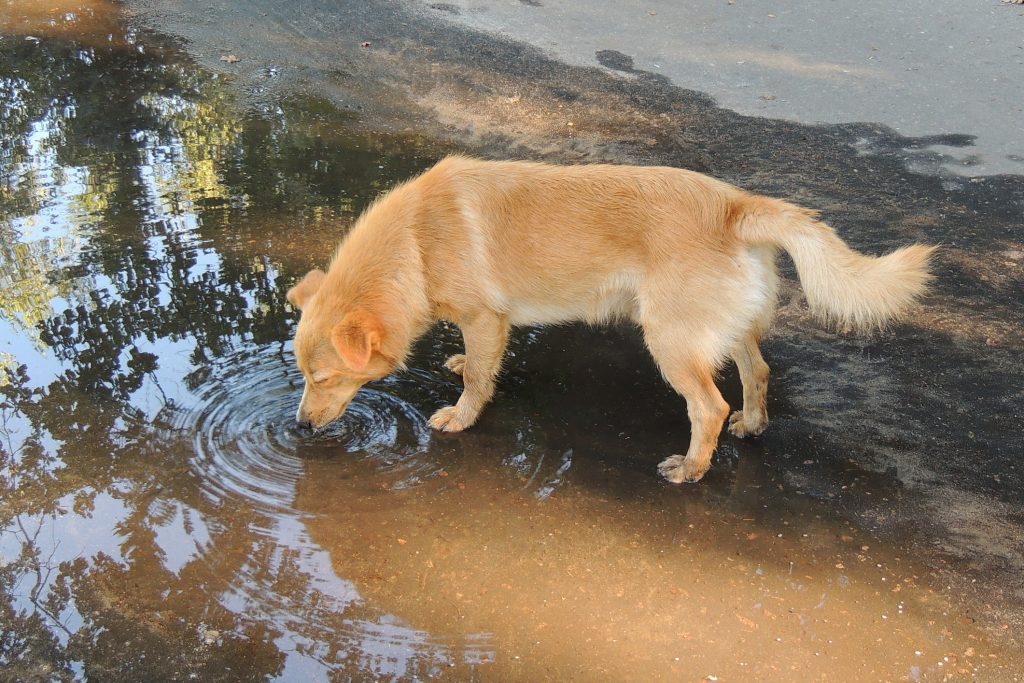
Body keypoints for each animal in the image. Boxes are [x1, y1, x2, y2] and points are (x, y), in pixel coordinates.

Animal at [284, 157, 933, 483]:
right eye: (305, 377)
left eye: (321, 379)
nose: (298, 428)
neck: (415, 242)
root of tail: (734, 206)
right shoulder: (491, 324)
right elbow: (482, 365)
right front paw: (468, 365)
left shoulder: (484, 316)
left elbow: (477, 384)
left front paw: (462, 417)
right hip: (728, 332)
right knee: (758, 374)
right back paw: (752, 426)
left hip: (670, 342)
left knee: (709, 407)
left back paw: (691, 469)